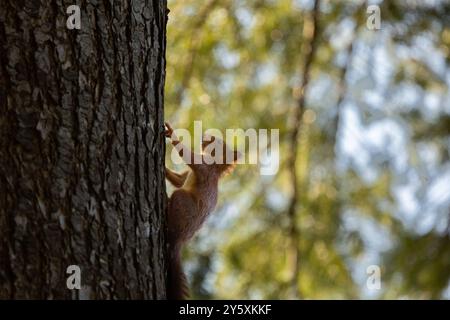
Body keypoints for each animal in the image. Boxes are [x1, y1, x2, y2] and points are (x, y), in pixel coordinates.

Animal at [164, 122, 241, 300]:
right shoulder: (190, 174)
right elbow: (179, 180)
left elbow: (187, 155)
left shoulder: (203, 169)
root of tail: (181, 240)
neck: (214, 164)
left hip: (184, 205)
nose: (205, 136)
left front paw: (172, 133)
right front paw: (163, 169)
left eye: (218, 143)